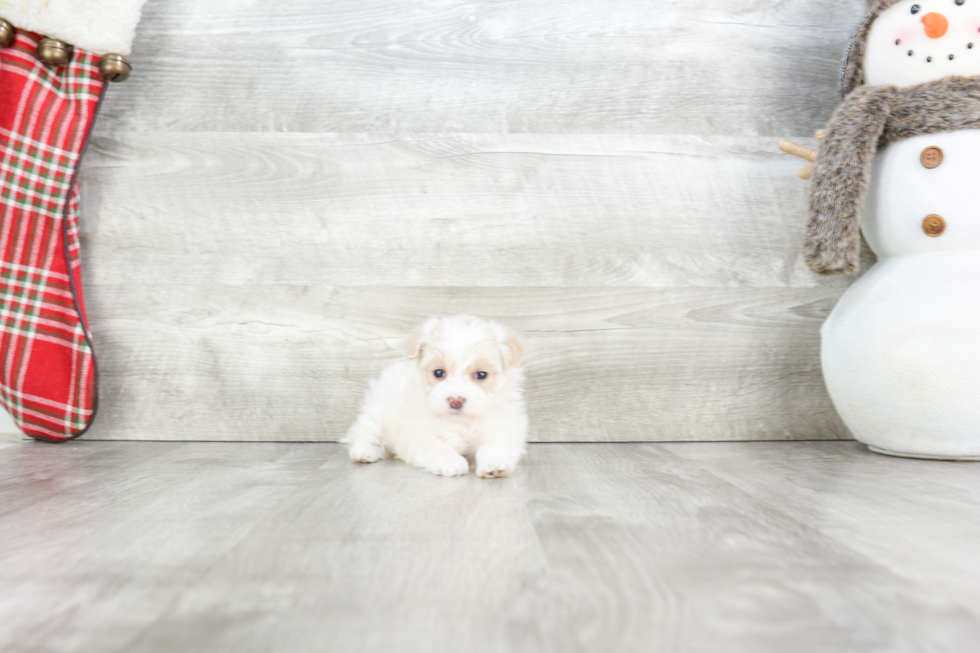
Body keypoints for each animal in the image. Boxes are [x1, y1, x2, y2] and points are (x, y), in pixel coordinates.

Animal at [344, 314, 528, 476]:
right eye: (438, 373)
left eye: (481, 375)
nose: (455, 401)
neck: (460, 422)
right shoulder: (419, 432)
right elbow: (438, 446)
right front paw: (451, 461)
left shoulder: (502, 427)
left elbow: (494, 446)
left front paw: (495, 465)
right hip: (376, 412)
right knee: (365, 433)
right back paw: (363, 452)